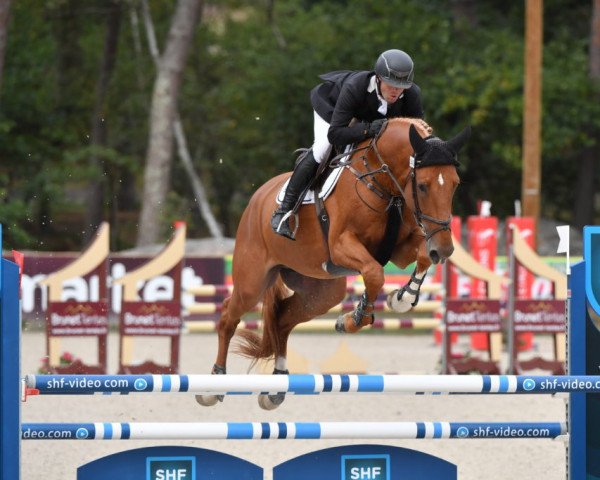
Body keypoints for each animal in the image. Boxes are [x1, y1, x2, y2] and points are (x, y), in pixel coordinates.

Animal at [197, 119, 468, 408]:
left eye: (455, 184)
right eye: (423, 186)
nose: (445, 249)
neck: (382, 181)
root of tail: (257, 198)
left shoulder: (401, 248)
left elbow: (422, 256)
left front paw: (401, 298)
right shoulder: (341, 246)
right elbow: (374, 274)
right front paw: (354, 318)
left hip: (321, 291)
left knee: (282, 317)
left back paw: (276, 387)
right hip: (253, 282)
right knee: (228, 315)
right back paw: (213, 385)